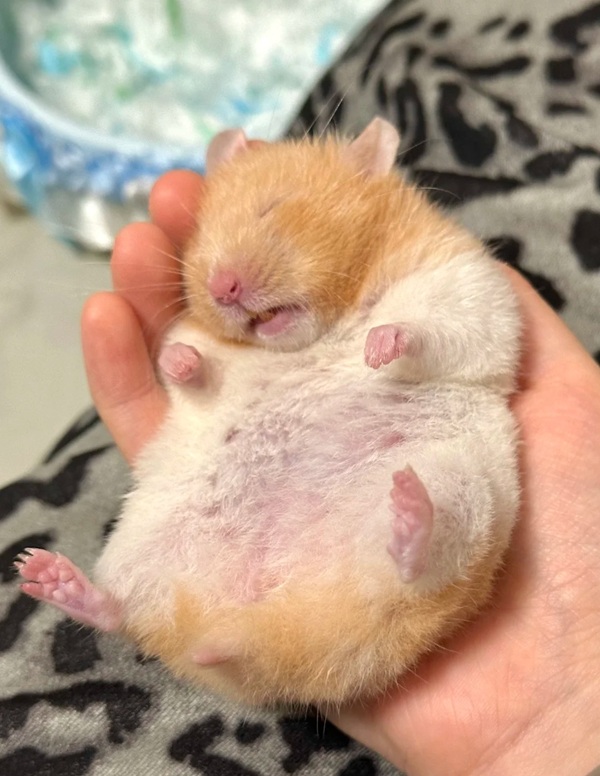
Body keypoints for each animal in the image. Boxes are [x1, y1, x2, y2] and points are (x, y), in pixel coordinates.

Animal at [16, 118, 521, 707]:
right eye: (201, 234)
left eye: (272, 208)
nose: (222, 287)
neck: (323, 325)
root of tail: (253, 623)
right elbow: (189, 368)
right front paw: (181, 360)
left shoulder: (469, 289)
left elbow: (427, 327)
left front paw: (376, 348)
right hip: (143, 539)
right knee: (125, 614)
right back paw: (45, 576)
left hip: (466, 494)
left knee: (410, 569)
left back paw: (409, 510)